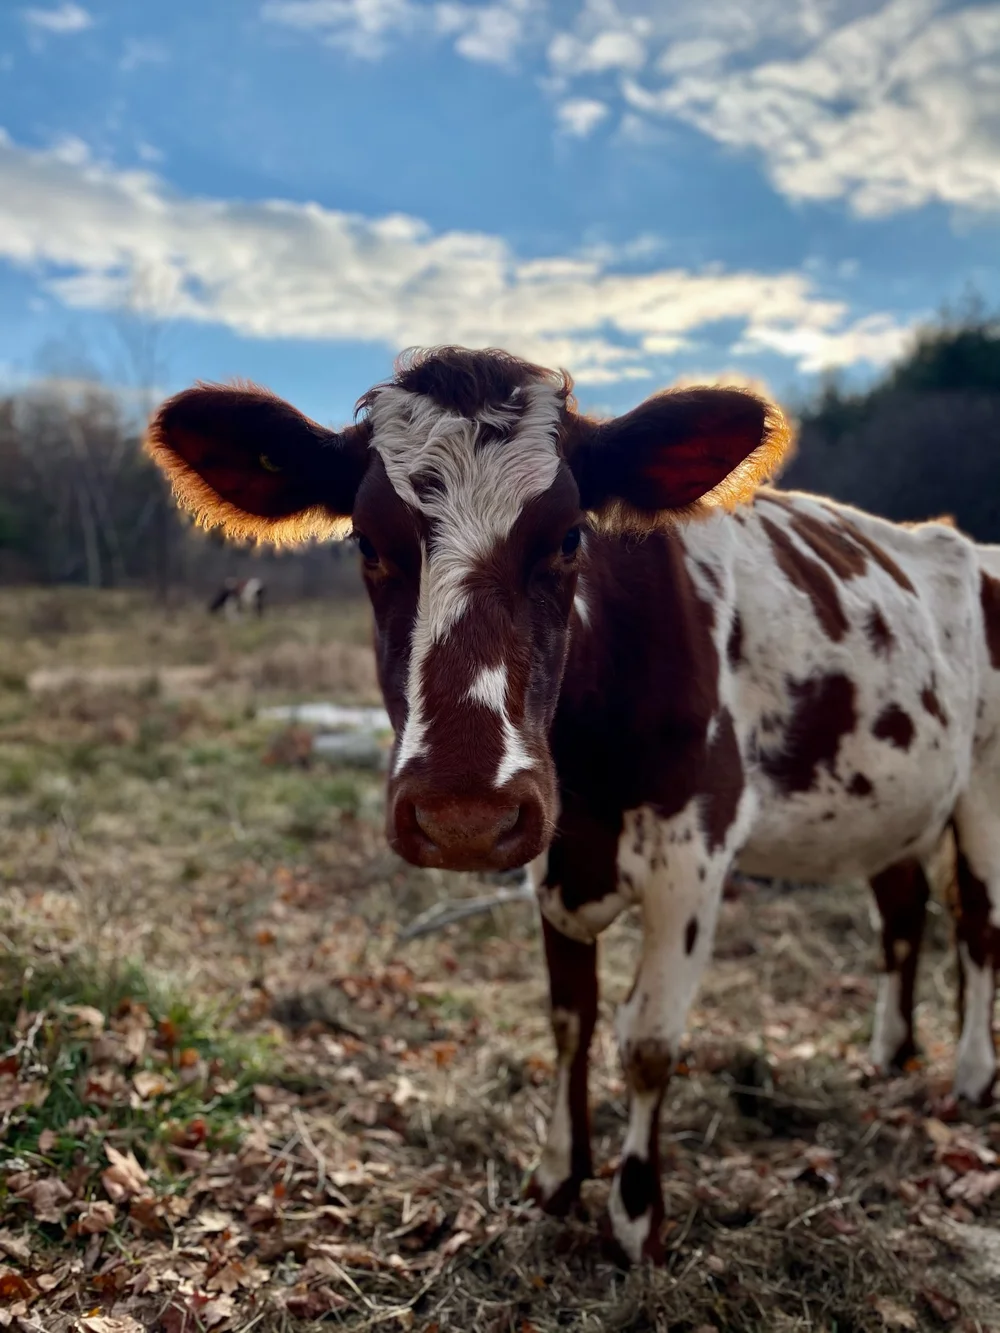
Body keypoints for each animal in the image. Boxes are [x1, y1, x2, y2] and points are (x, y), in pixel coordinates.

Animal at [147, 346, 1000, 1264]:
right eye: (368, 541)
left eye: (567, 536)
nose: (463, 811)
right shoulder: (548, 853)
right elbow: (569, 1019)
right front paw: (557, 1175)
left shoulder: (693, 852)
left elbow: (648, 1040)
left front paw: (634, 1216)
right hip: (894, 801)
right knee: (904, 914)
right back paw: (890, 1053)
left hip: (985, 789)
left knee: (978, 924)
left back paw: (972, 1073)